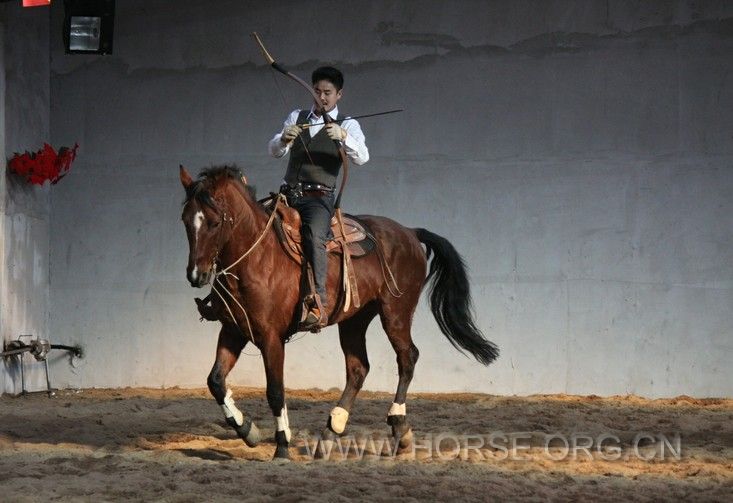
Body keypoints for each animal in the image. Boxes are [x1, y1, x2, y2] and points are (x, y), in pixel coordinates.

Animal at [179, 165, 498, 461]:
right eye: (185, 220)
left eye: (214, 222)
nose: (196, 275)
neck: (258, 257)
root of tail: (409, 232)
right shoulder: (234, 329)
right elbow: (215, 381)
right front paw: (249, 431)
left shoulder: (271, 337)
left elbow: (276, 391)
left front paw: (282, 446)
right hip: (355, 320)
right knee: (358, 369)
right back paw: (332, 433)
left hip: (396, 312)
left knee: (407, 357)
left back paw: (398, 427)